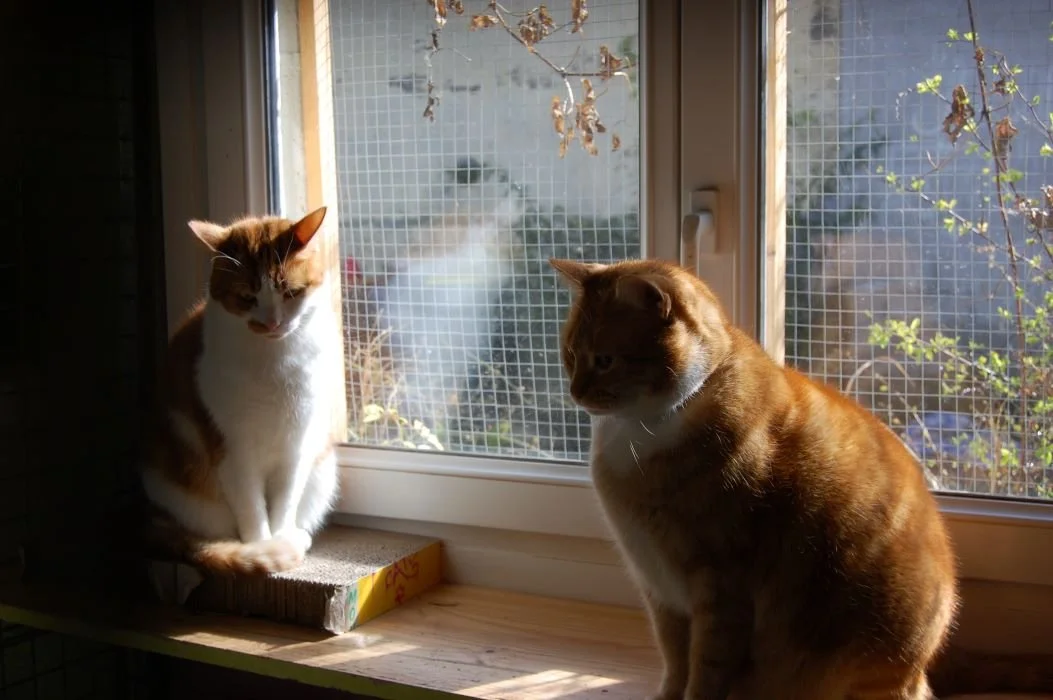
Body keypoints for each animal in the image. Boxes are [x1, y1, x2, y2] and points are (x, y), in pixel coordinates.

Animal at [140, 207, 342, 577]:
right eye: (247, 298)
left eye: (290, 292)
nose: (273, 323)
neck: (274, 364)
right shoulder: (232, 451)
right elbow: (252, 512)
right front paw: (264, 549)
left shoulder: (297, 446)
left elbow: (283, 505)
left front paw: (280, 539)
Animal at [550, 257, 1053, 700]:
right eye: (570, 355)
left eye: (605, 360)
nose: (574, 392)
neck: (644, 430)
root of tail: (932, 660)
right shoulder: (661, 593)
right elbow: (675, 664)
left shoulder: (721, 590)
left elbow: (705, 670)